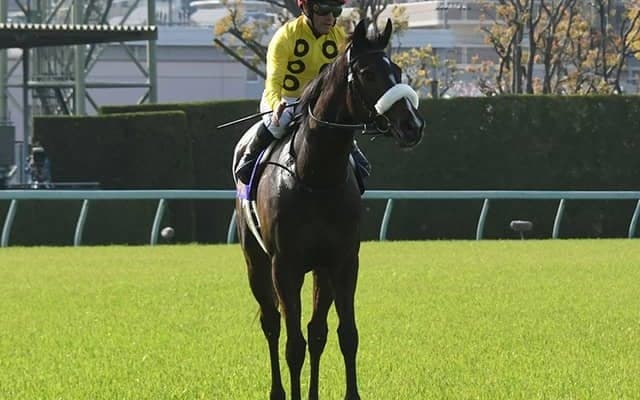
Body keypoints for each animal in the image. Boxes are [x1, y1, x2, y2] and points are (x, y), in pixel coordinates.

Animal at [231, 19, 424, 400]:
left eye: (396, 70)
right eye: (367, 73)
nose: (412, 126)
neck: (314, 176)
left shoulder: (342, 261)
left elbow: (344, 335)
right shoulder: (285, 266)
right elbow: (293, 344)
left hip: (319, 270)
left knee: (316, 330)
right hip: (255, 261)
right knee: (272, 323)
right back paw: (278, 391)